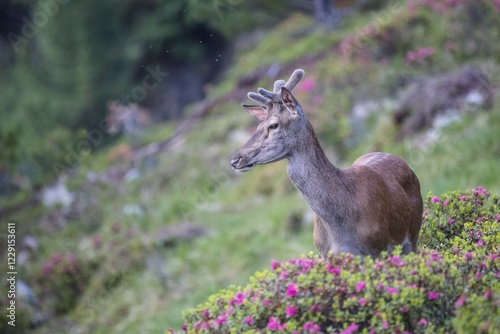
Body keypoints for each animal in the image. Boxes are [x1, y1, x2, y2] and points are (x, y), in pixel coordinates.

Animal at [230, 68, 422, 258]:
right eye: (257, 126)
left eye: (273, 125)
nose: (235, 159)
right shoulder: (325, 253)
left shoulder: (377, 248)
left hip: (414, 233)